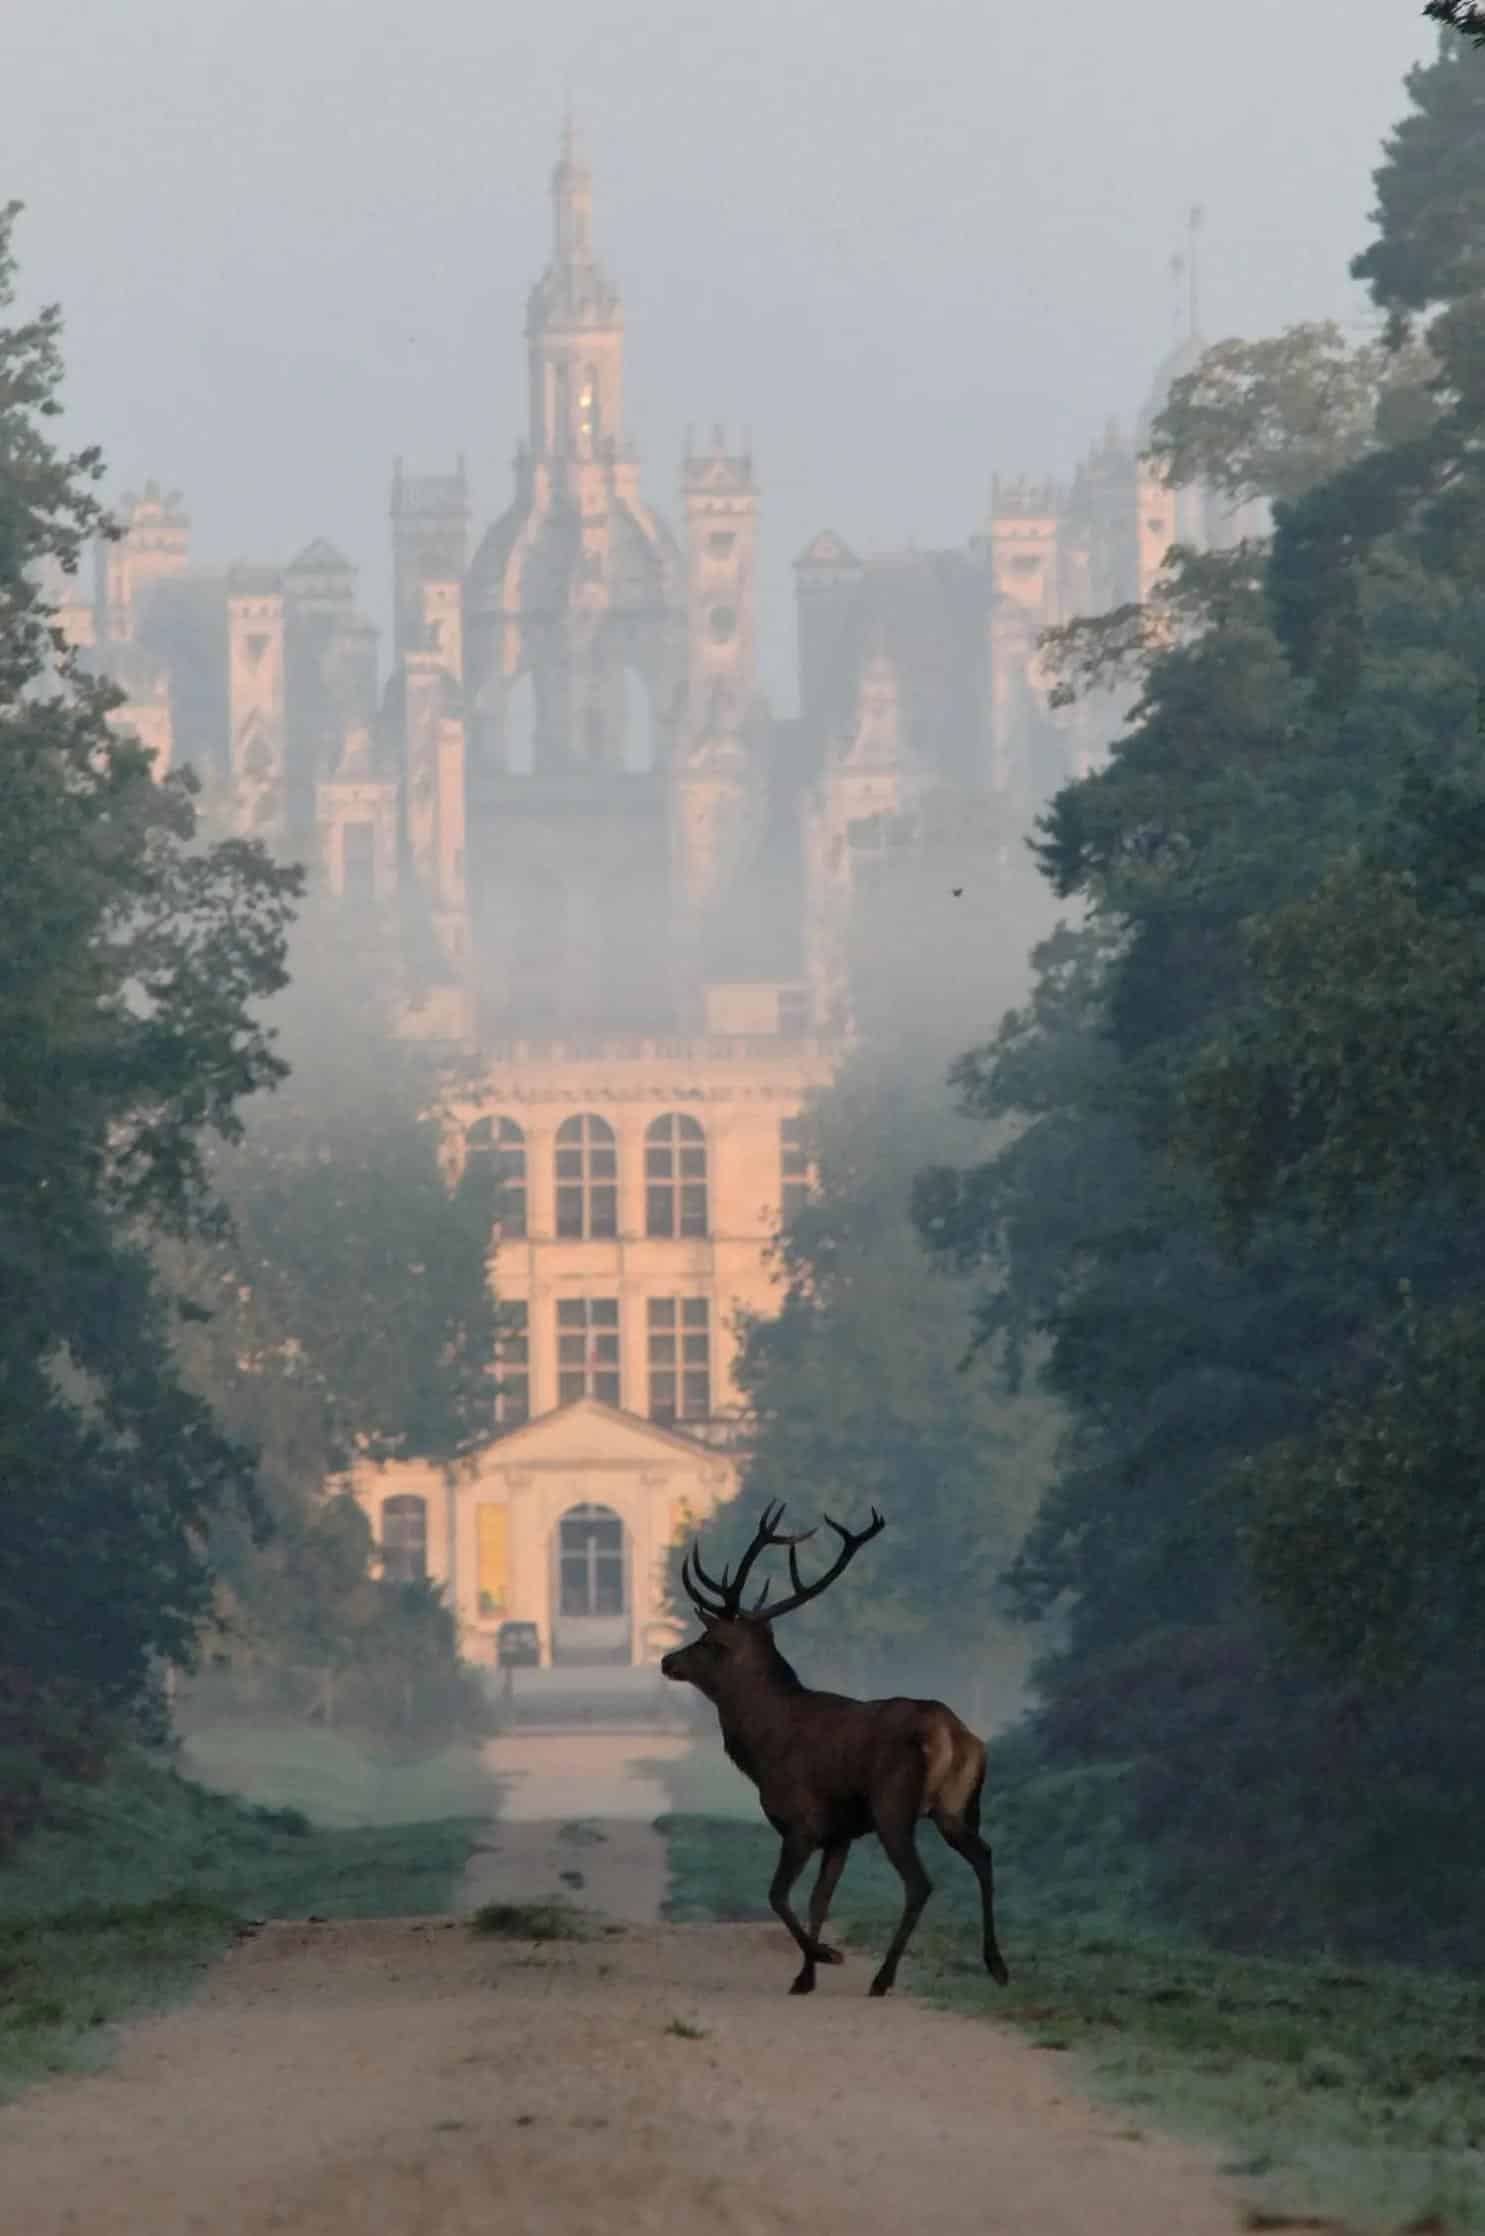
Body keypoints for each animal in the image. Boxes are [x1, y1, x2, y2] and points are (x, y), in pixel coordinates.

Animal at [660, 1501, 1009, 1998]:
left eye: (710, 1641)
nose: (667, 1660)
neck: (762, 1749)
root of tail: (952, 1734)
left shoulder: (801, 1821)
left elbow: (778, 1895)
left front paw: (826, 1956)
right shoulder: (840, 1833)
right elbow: (818, 1900)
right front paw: (805, 1977)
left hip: (893, 1806)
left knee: (920, 1883)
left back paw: (883, 1977)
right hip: (955, 1807)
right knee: (984, 1855)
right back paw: (996, 1965)